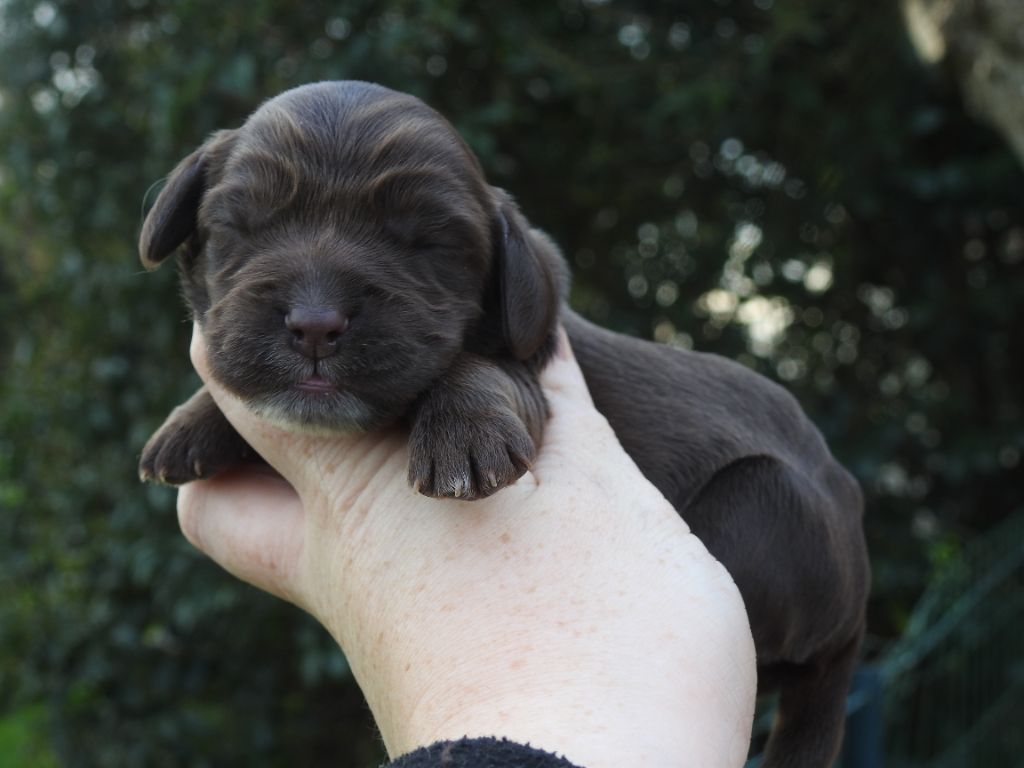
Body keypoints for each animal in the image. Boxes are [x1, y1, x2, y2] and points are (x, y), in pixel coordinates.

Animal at [138, 81, 872, 765]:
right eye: (241, 229)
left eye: (427, 243)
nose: (315, 323)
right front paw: (191, 425)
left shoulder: (528, 368)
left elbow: (474, 368)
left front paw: (465, 437)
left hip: (761, 500)